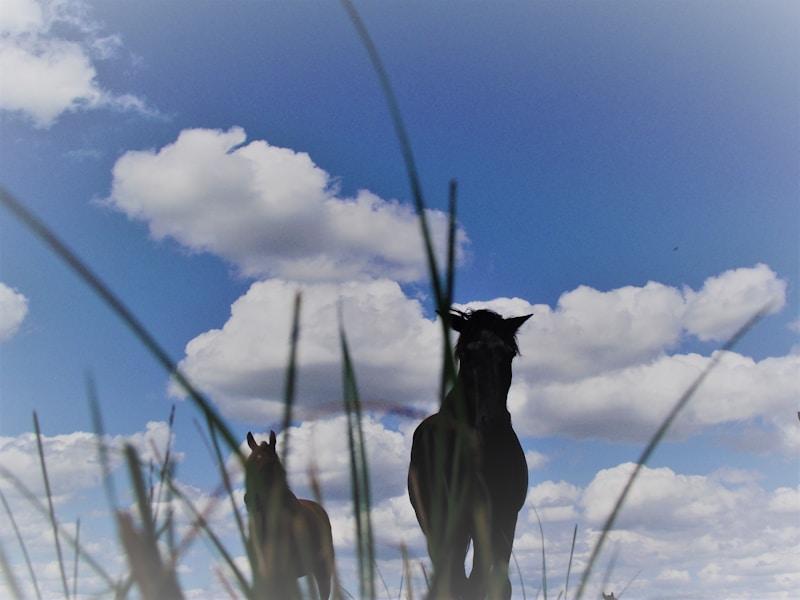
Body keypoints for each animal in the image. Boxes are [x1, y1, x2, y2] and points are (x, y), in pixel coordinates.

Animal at [408, 308, 532, 600]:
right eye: (465, 353)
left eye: (509, 352)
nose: (494, 422)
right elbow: (459, 578)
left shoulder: (505, 519)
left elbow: (496, 582)